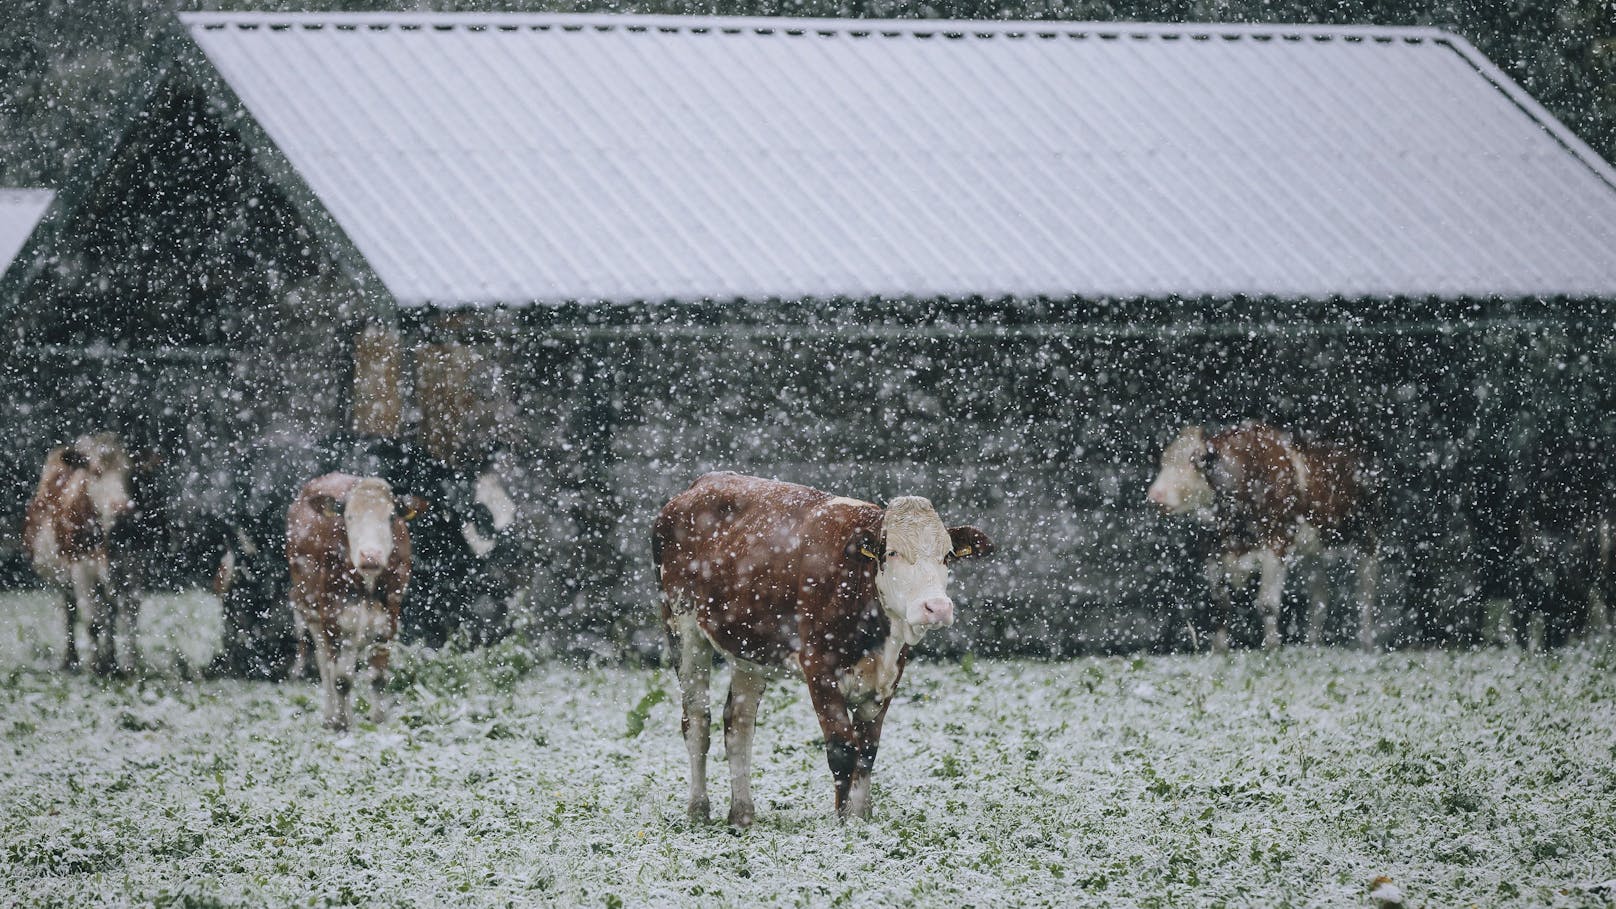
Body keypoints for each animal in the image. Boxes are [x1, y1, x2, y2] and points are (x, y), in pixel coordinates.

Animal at [22, 430, 137, 672]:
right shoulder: (81, 568)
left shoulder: (133, 567)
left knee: (109, 614)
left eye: (131, 473)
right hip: (63, 579)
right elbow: (92, 621)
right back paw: (71, 660)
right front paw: (97, 666)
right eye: (96, 471)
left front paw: (126, 666)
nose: (123, 509)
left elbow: (128, 618)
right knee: (71, 612)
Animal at [286, 469, 423, 724]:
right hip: (310, 609)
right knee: (325, 664)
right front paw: (341, 724)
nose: (370, 556)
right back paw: (332, 715)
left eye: (391, 516)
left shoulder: (389, 617)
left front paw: (377, 718)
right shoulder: (332, 616)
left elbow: (378, 676)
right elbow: (340, 678)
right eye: (349, 516)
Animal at [652, 469, 982, 824]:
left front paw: (861, 818)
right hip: (681, 625)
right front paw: (842, 823)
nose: (936, 607)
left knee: (738, 723)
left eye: (947, 555)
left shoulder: (889, 674)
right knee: (697, 719)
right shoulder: (820, 668)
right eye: (891, 552)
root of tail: (703, 482)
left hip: (749, 648)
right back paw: (698, 809)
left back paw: (742, 815)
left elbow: (867, 750)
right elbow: (842, 749)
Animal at [1150, 420, 1376, 646]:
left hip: (1369, 539)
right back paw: (1312, 643)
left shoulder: (1277, 542)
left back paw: (1366, 642)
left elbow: (1267, 604)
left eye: (1197, 459)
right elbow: (1221, 602)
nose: (1155, 495)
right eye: (1164, 461)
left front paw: (1273, 646)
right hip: (1312, 551)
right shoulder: (1211, 550)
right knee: (1320, 592)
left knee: (1366, 592)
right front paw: (1219, 648)